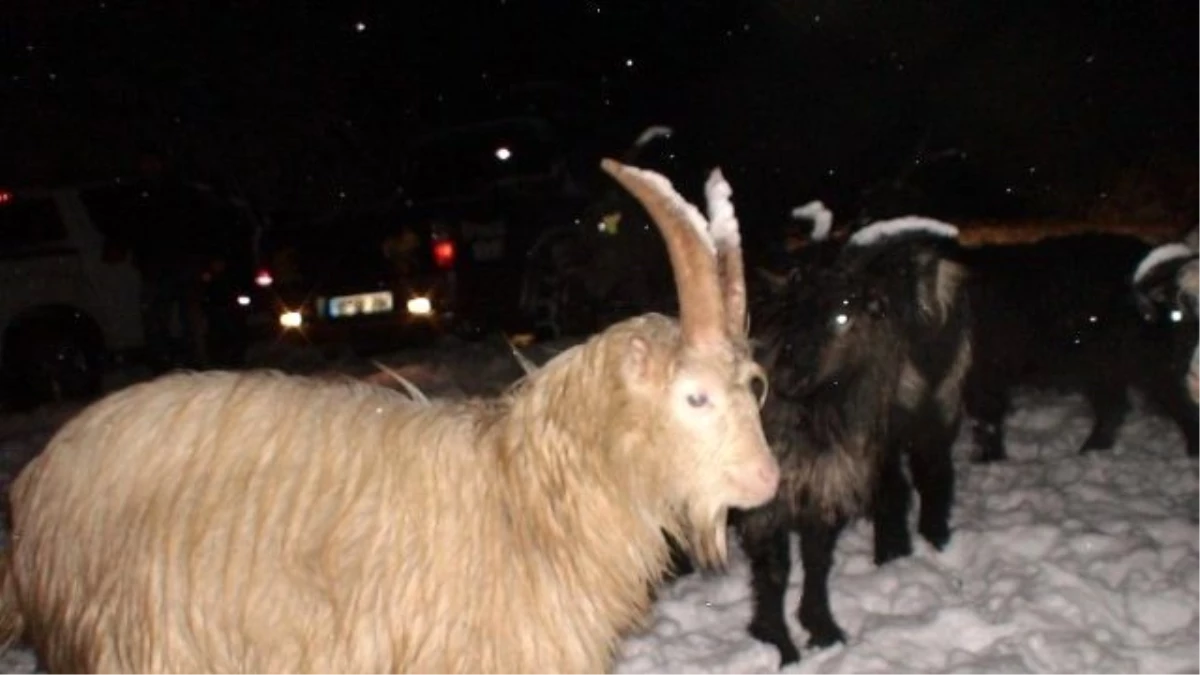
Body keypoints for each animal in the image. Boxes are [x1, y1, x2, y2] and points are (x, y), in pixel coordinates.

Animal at [734, 219, 969, 662]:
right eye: (789, 315)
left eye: (843, 315)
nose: (787, 378)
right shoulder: (767, 498)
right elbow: (774, 571)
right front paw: (778, 645)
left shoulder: (826, 480)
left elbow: (816, 561)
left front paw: (821, 629)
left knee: (928, 475)